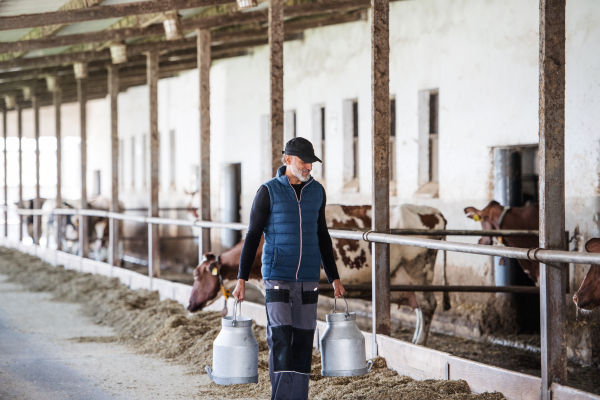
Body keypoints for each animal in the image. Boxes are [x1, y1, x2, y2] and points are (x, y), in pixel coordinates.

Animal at [188, 205, 446, 346]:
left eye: (197, 275)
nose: (190, 305)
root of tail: (435, 213)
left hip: (418, 269)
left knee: (428, 305)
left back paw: (419, 343)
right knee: (422, 308)